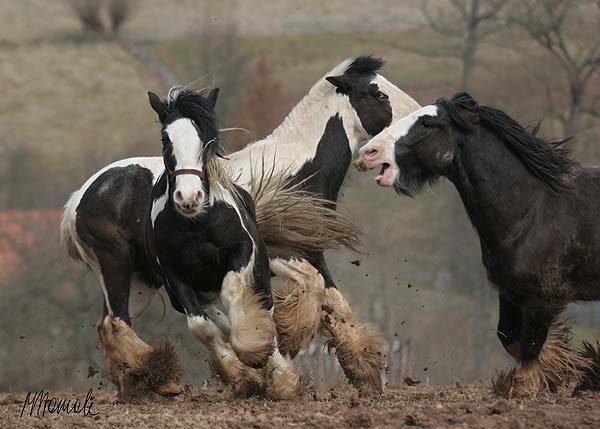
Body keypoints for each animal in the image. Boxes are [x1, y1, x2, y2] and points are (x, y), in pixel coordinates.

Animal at [58, 54, 420, 394]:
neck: (290, 173)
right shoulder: (271, 252)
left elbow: (333, 300)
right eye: (377, 93)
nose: (419, 119)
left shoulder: (311, 251)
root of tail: (79, 198)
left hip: (142, 282)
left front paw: (364, 372)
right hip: (117, 267)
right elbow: (311, 287)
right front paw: (287, 340)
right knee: (117, 322)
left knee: (110, 323)